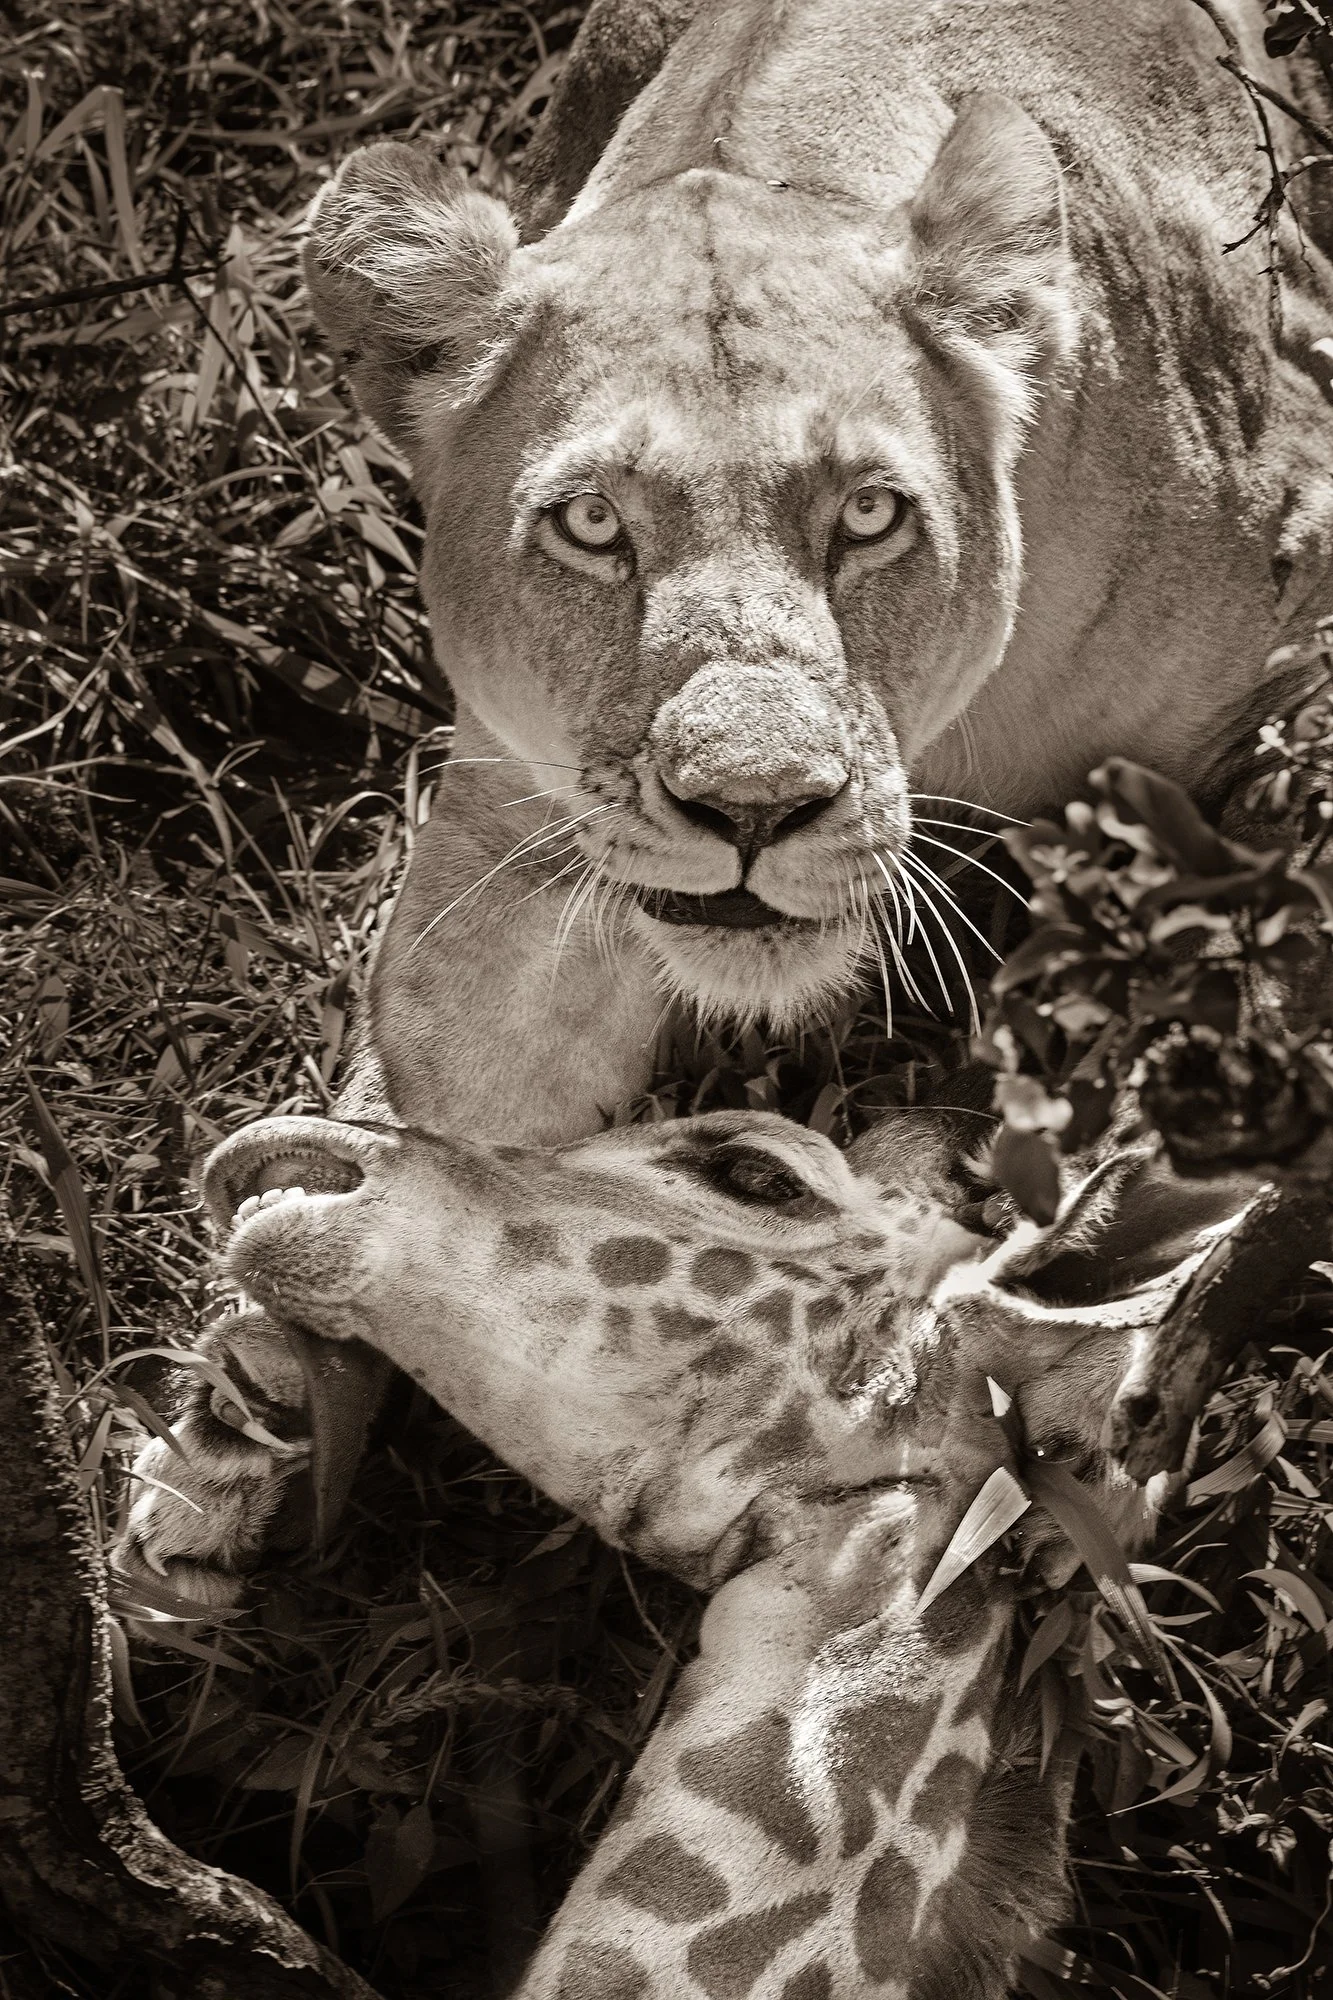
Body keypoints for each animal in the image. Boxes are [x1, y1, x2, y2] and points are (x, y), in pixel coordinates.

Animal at [119, 0, 1333, 1593]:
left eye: (870, 515)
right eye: (590, 524)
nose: (755, 808)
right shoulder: (514, 843)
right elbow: (437, 1092)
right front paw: (246, 1408)